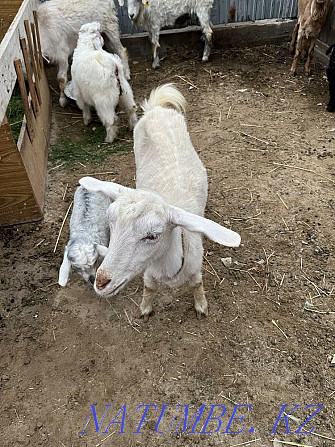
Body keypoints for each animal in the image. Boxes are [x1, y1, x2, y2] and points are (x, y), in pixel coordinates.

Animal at [79, 85, 240, 322]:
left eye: (152, 236)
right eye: (110, 223)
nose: (101, 282)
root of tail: (156, 109)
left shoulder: (195, 267)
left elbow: (197, 285)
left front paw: (201, 306)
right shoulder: (149, 270)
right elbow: (150, 288)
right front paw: (145, 309)